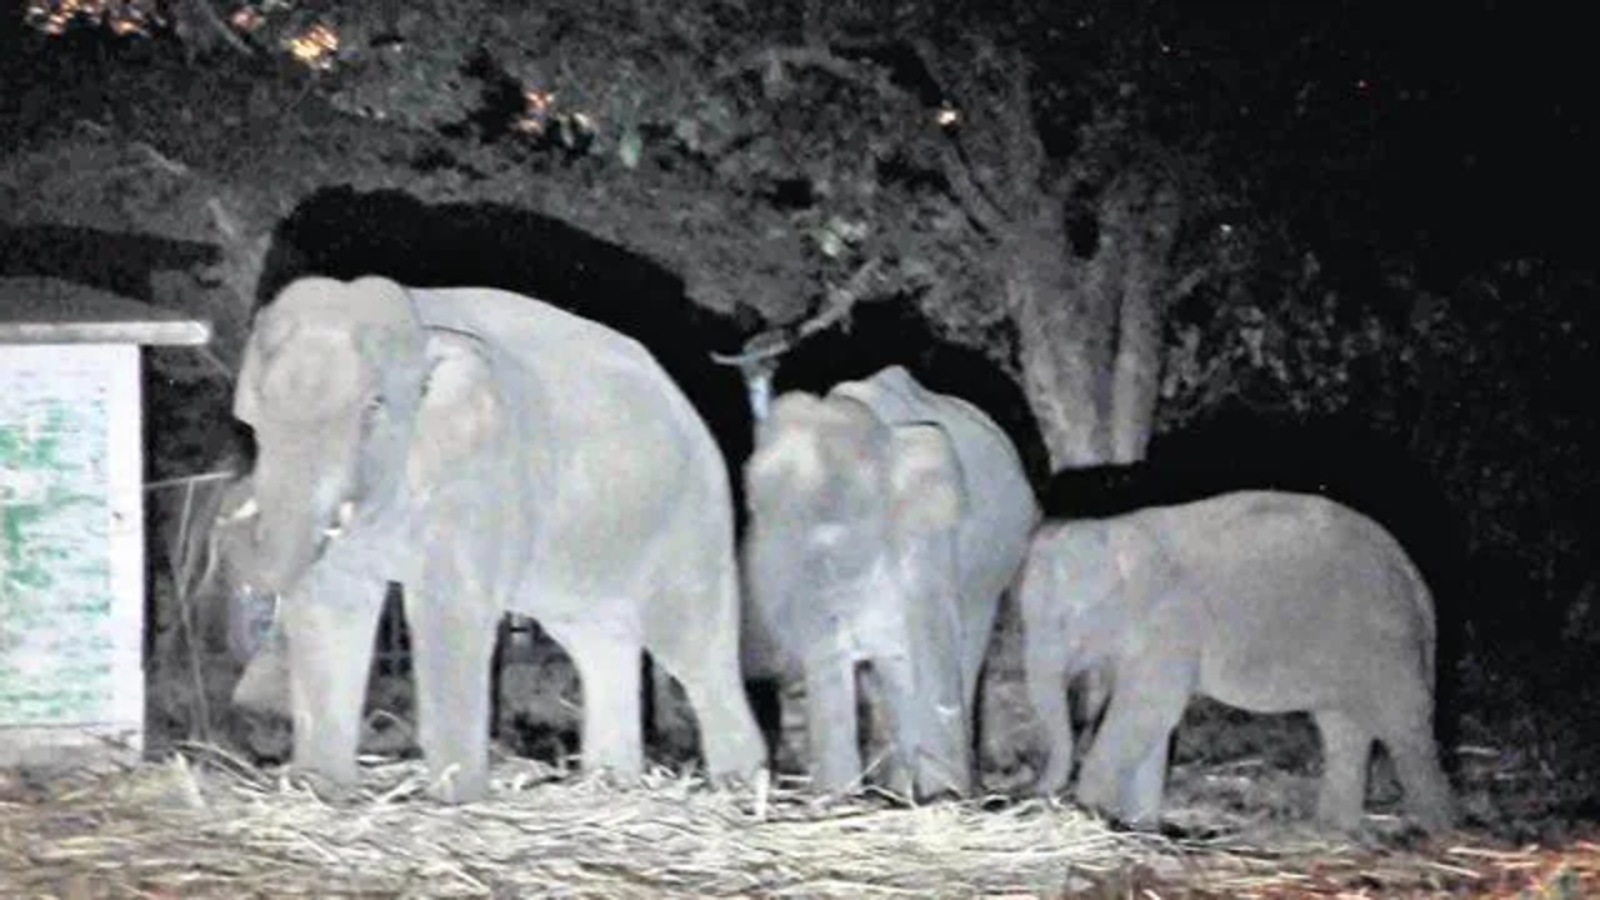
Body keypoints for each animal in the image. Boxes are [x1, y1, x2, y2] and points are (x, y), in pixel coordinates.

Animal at [224, 274, 765, 802]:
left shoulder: (485, 474)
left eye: (373, 406)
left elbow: (447, 612)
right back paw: (610, 785)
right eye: (255, 417)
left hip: (692, 517)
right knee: (599, 642)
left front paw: (455, 799)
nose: (234, 507)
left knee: (694, 648)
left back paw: (739, 790)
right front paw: (322, 791)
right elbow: (331, 603)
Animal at [742, 365, 1039, 798]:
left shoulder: (927, 542)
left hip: (991, 576)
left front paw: (943, 799)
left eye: (839, 537)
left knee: (961, 655)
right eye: (756, 516)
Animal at [1018, 490, 1454, 832]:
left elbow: (1147, 710)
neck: (1120, 531)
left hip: (1386, 643)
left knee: (1404, 726)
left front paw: (1090, 809)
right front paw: (1139, 825)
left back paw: (1437, 830)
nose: (1034, 797)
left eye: (1067, 620)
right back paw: (1333, 829)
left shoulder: (1173, 624)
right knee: (1343, 728)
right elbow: (1153, 721)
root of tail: (1413, 574)